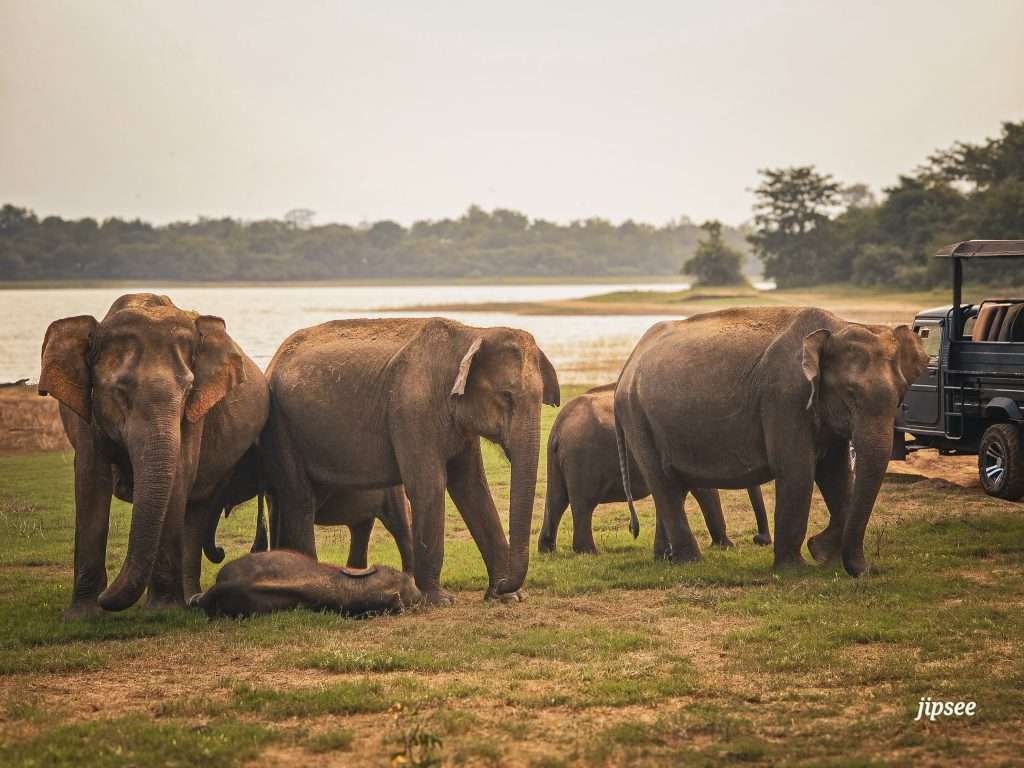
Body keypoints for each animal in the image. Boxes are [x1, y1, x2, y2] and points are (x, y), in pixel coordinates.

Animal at [39, 294, 269, 617]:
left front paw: (162, 612)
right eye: (120, 391)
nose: (106, 596)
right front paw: (83, 615)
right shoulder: (84, 412)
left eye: (187, 390)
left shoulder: (195, 412)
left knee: (196, 511)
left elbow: (180, 474)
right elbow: (90, 480)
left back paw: (191, 600)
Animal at [264, 317, 559, 605]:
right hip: (280, 425)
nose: (504, 585)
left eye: (540, 399)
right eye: (506, 396)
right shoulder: (412, 410)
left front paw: (509, 597)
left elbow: (472, 489)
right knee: (298, 498)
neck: (473, 332)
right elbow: (429, 486)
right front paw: (439, 600)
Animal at [537, 384, 771, 555]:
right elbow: (703, 491)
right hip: (584, 458)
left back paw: (547, 550)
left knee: (556, 499)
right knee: (583, 504)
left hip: (558, 459)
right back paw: (589, 553)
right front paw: (727, 546)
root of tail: (558, 426)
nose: (760, 540)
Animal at [613, 307, 928, 575]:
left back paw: (664, 559)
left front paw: (823, 554)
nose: (866, 571)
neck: (837, 327)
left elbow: (837, 476)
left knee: (673, 485)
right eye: (850, 393)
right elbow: (797, 472)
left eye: (901, 396)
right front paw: (797, 569)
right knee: (663, 483)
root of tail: (627, 366)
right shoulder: (785, 399)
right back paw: (689, 562)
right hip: (637, 418)